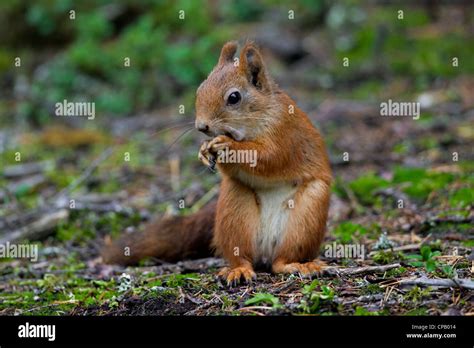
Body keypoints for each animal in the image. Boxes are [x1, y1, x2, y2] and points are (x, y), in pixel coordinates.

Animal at [103, 41, 334, 286]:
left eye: (234, 98)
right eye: (200, 90)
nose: (201, 126)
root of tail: (266, 252)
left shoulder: (285, 133)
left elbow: (270, 157)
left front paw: (227, 145)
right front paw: (205, 150)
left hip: (308, 214)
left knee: (281, 261)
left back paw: (299, 265)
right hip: (233, 207)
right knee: (242, 256)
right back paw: (239, 270)